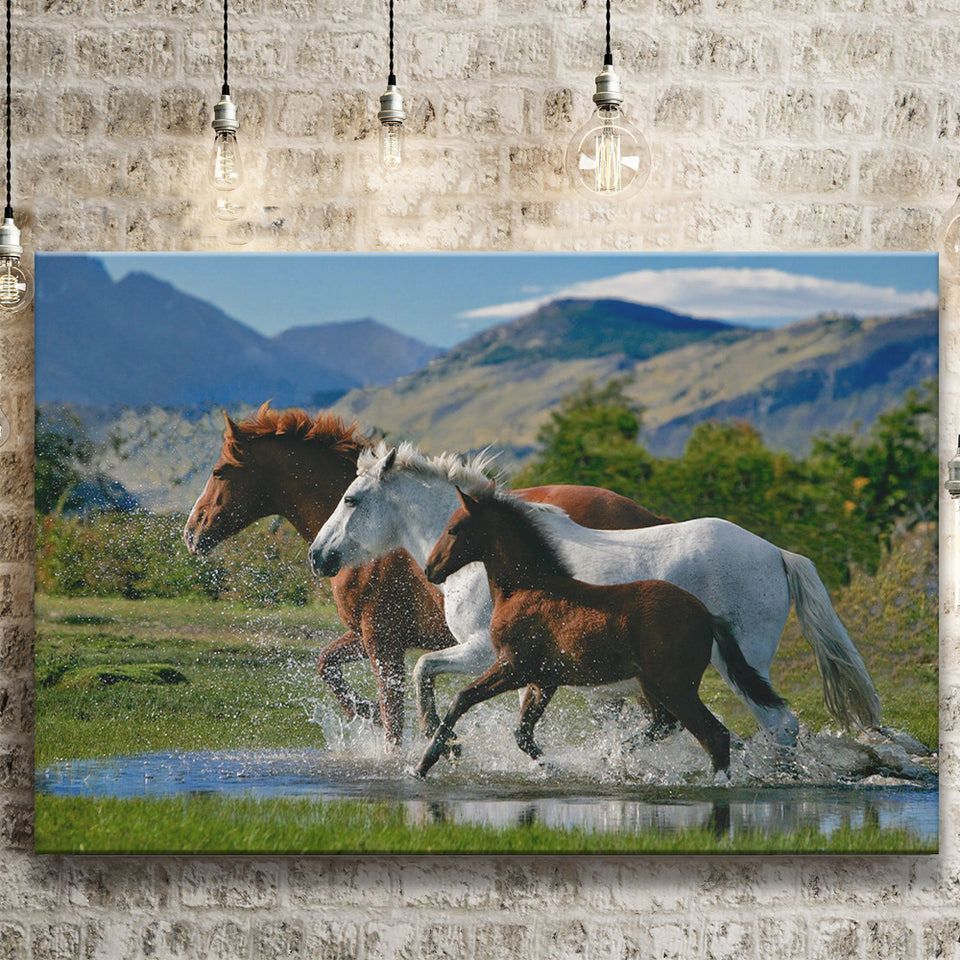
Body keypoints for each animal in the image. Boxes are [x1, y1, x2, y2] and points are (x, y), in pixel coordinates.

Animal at [183, 402, 669, 746]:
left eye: (219, 471)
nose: (191, 533)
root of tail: (652, 518)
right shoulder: (369, 636)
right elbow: (328, 665)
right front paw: (365, 712)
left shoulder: (382, 640)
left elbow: (393, 717)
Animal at [309, 443, 881, 745]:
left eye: (351, 498)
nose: (319, 556)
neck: (492, 557)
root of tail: (776, 553)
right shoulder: (530, 666)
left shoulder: (484, 652)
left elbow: (425, 669)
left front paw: (441, 740)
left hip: (741, 667)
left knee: (777, 724)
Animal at [415, 484, 788, 778]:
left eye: (453, 529)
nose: (431, 569)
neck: (528, 587)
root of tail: (706, 615)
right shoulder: (543, 680)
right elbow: (522, 733)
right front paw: (552, 766)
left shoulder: (513, 667)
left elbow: (462, 699)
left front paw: (425, 762)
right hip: (654, 685)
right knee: (668, 725)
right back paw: (616, 755)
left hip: (675, 686)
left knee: (715, 734)